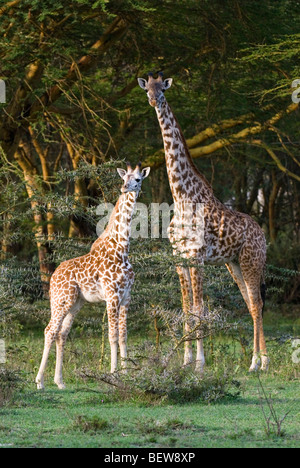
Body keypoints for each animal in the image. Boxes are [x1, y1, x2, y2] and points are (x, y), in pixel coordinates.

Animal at [138, 73, 268, 372]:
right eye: (146, 88)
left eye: (162, 89)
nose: (153, 100)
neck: (181, 196)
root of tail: (262, 234)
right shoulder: (179, 257)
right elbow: (186, 309)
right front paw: (185, 361)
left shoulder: (196, 256)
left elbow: (199, 309)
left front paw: (199, 363)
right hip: (234, 264)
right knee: (250, 302)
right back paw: (257, 360)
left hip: (251, 261)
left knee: (257, 304)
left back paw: (258, 362)